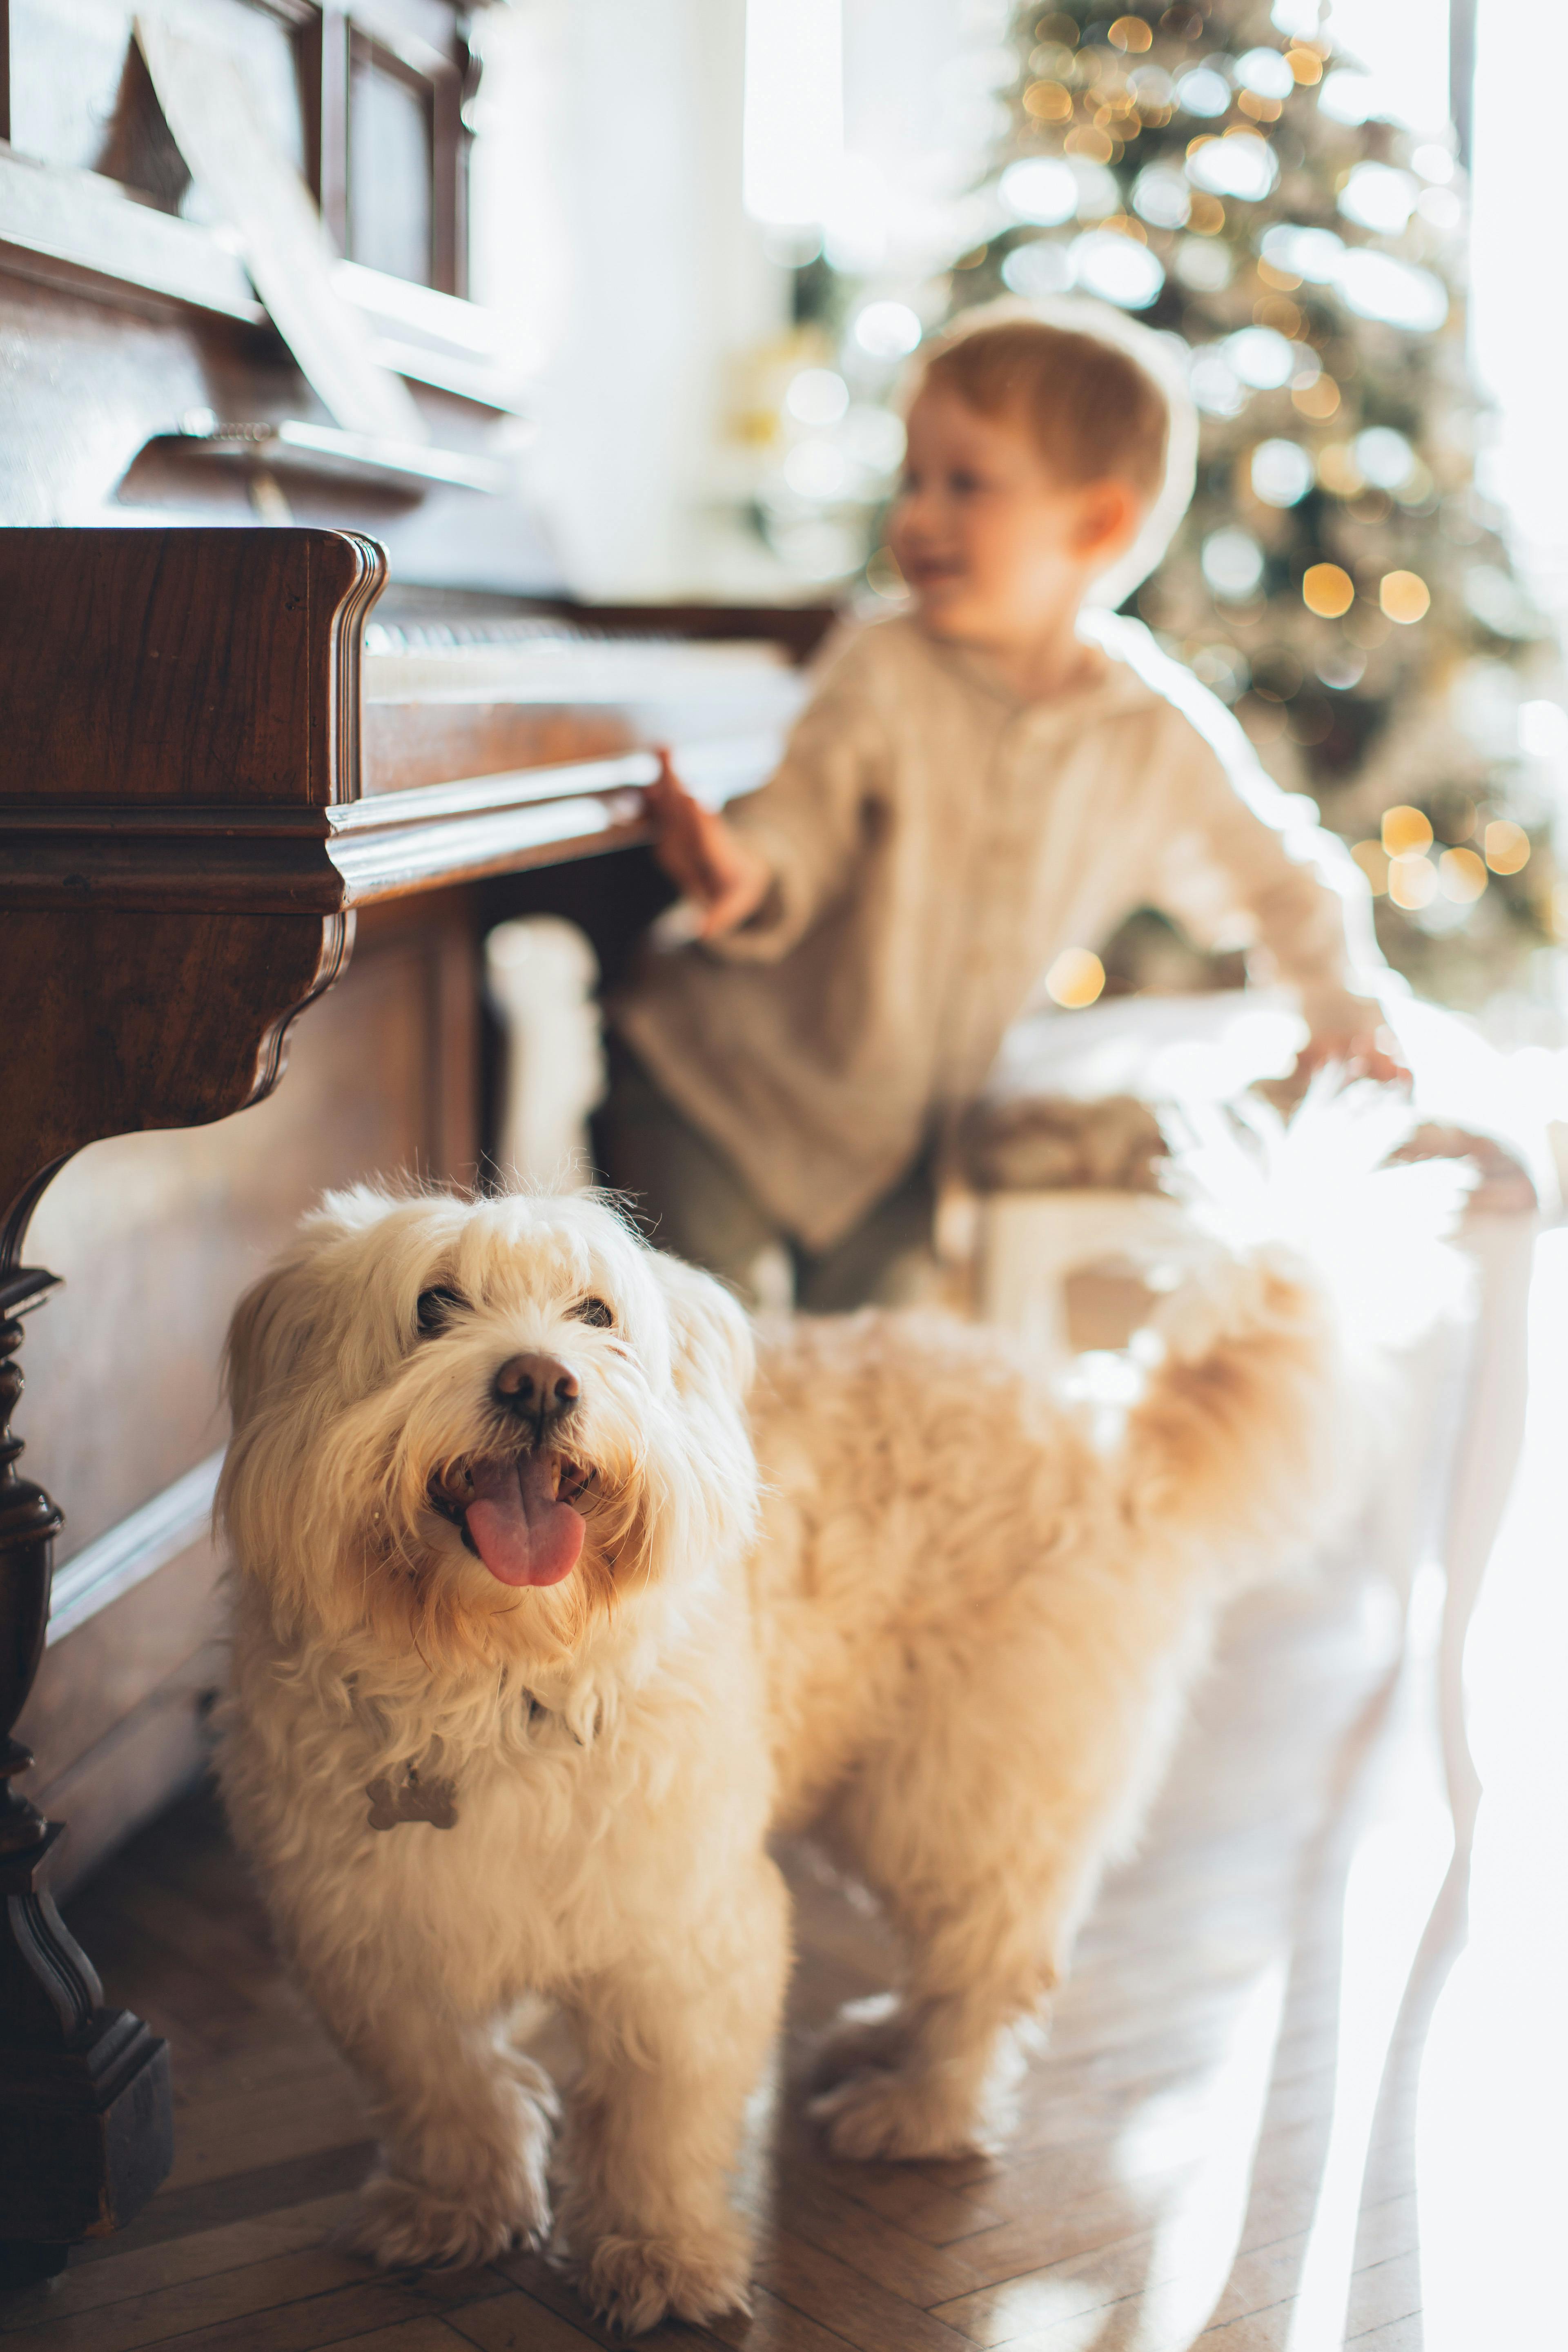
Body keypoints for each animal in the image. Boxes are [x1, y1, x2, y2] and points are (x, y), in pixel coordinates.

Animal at [217, 1110, 1448, 2342]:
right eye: (433, 1304)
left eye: (596, 1313)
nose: (537, 1382)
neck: (496, 1674)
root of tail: (1111, 1431)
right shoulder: (375, 1939)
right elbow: (446, 2089)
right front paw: (453, 2206)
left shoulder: (684, 1937)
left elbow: (659, 2121)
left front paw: (659, 2256)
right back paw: (881, 2042)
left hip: (955, 1793)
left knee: (989, 1970)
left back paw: (915, 2103)